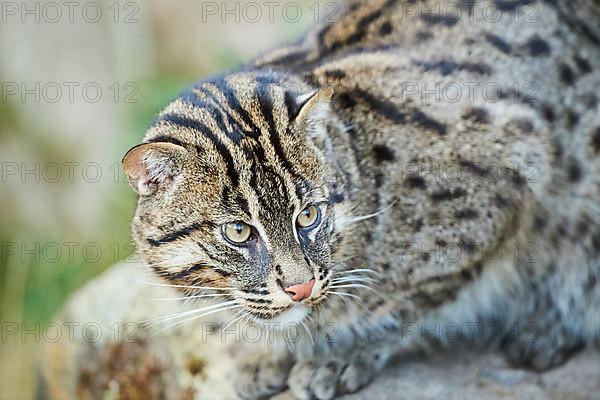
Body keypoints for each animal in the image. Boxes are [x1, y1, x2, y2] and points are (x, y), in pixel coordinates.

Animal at [122, 0, 600, 398]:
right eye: (238, 231)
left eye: (309, 216)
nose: (300, 287)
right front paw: (268, 351)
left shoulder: (516, 162)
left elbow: (405, 300)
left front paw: (337, 351)